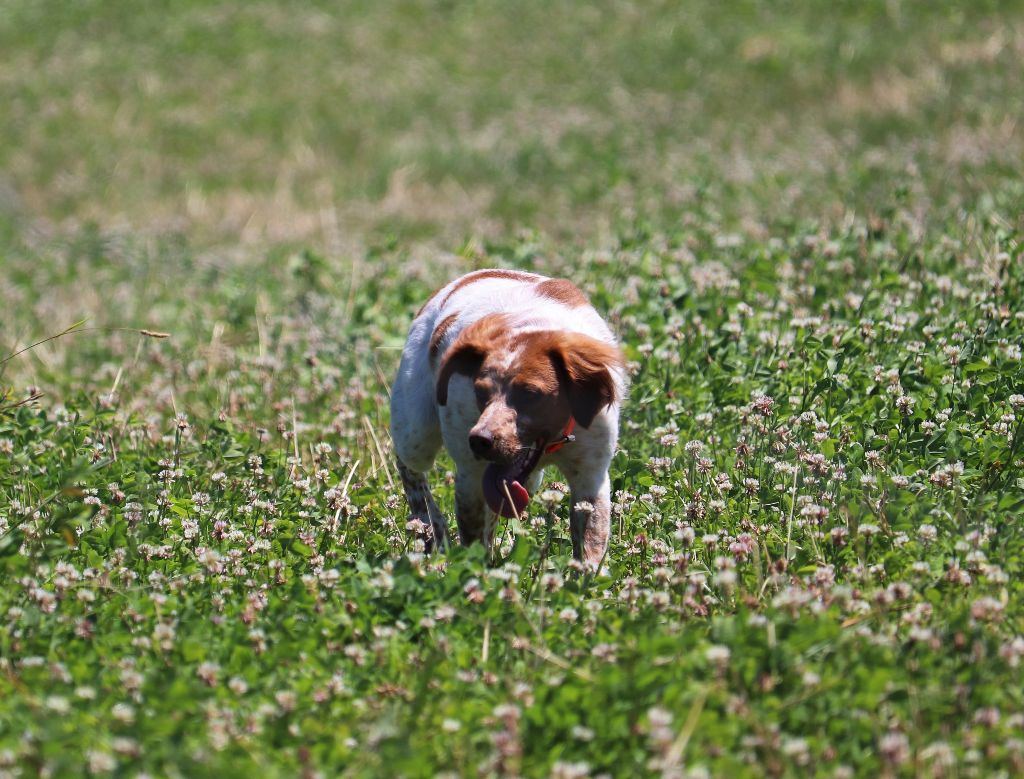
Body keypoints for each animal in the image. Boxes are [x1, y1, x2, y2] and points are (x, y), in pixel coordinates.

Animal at [389, 268, 622, 565]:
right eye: (479, 390)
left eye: (531, 394)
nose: (479, 440)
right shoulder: (470, 477)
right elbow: (476, 542)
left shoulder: (591, 479)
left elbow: (589, 549)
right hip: (416, 432)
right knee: (408, 466)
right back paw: (430, 526)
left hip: (529, 481)